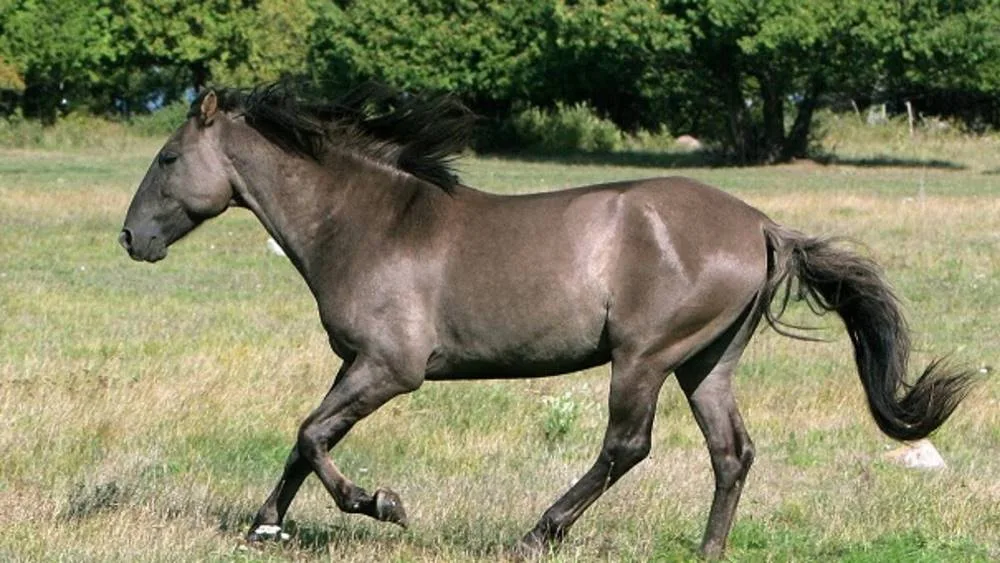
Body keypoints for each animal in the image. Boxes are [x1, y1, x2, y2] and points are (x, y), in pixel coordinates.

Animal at [118, 83, 973, 559]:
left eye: (167, 158)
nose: (131, 238)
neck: (370, 221)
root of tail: (764, 225)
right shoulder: (356, 362)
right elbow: (306, 438)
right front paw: (265, 525)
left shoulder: (391, 367)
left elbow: (311, 432)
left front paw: (384, 504)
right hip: (707, 362)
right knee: (732, 452)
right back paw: (707, 549)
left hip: (645, 355)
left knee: (627, 446)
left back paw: (537, 532)